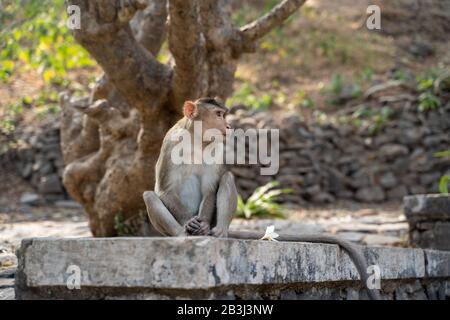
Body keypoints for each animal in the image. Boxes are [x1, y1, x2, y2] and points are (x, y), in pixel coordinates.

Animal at [143, 97, 380, 300]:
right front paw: (189, 223)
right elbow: (163, 190)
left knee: (227, 178)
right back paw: (182, 234)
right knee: (149, 195)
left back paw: (218, 232)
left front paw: (200, 225)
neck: (196, 140)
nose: (228, 126)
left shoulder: (217, 147)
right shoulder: (170, 142)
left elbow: (210, 189)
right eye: (219, 114)